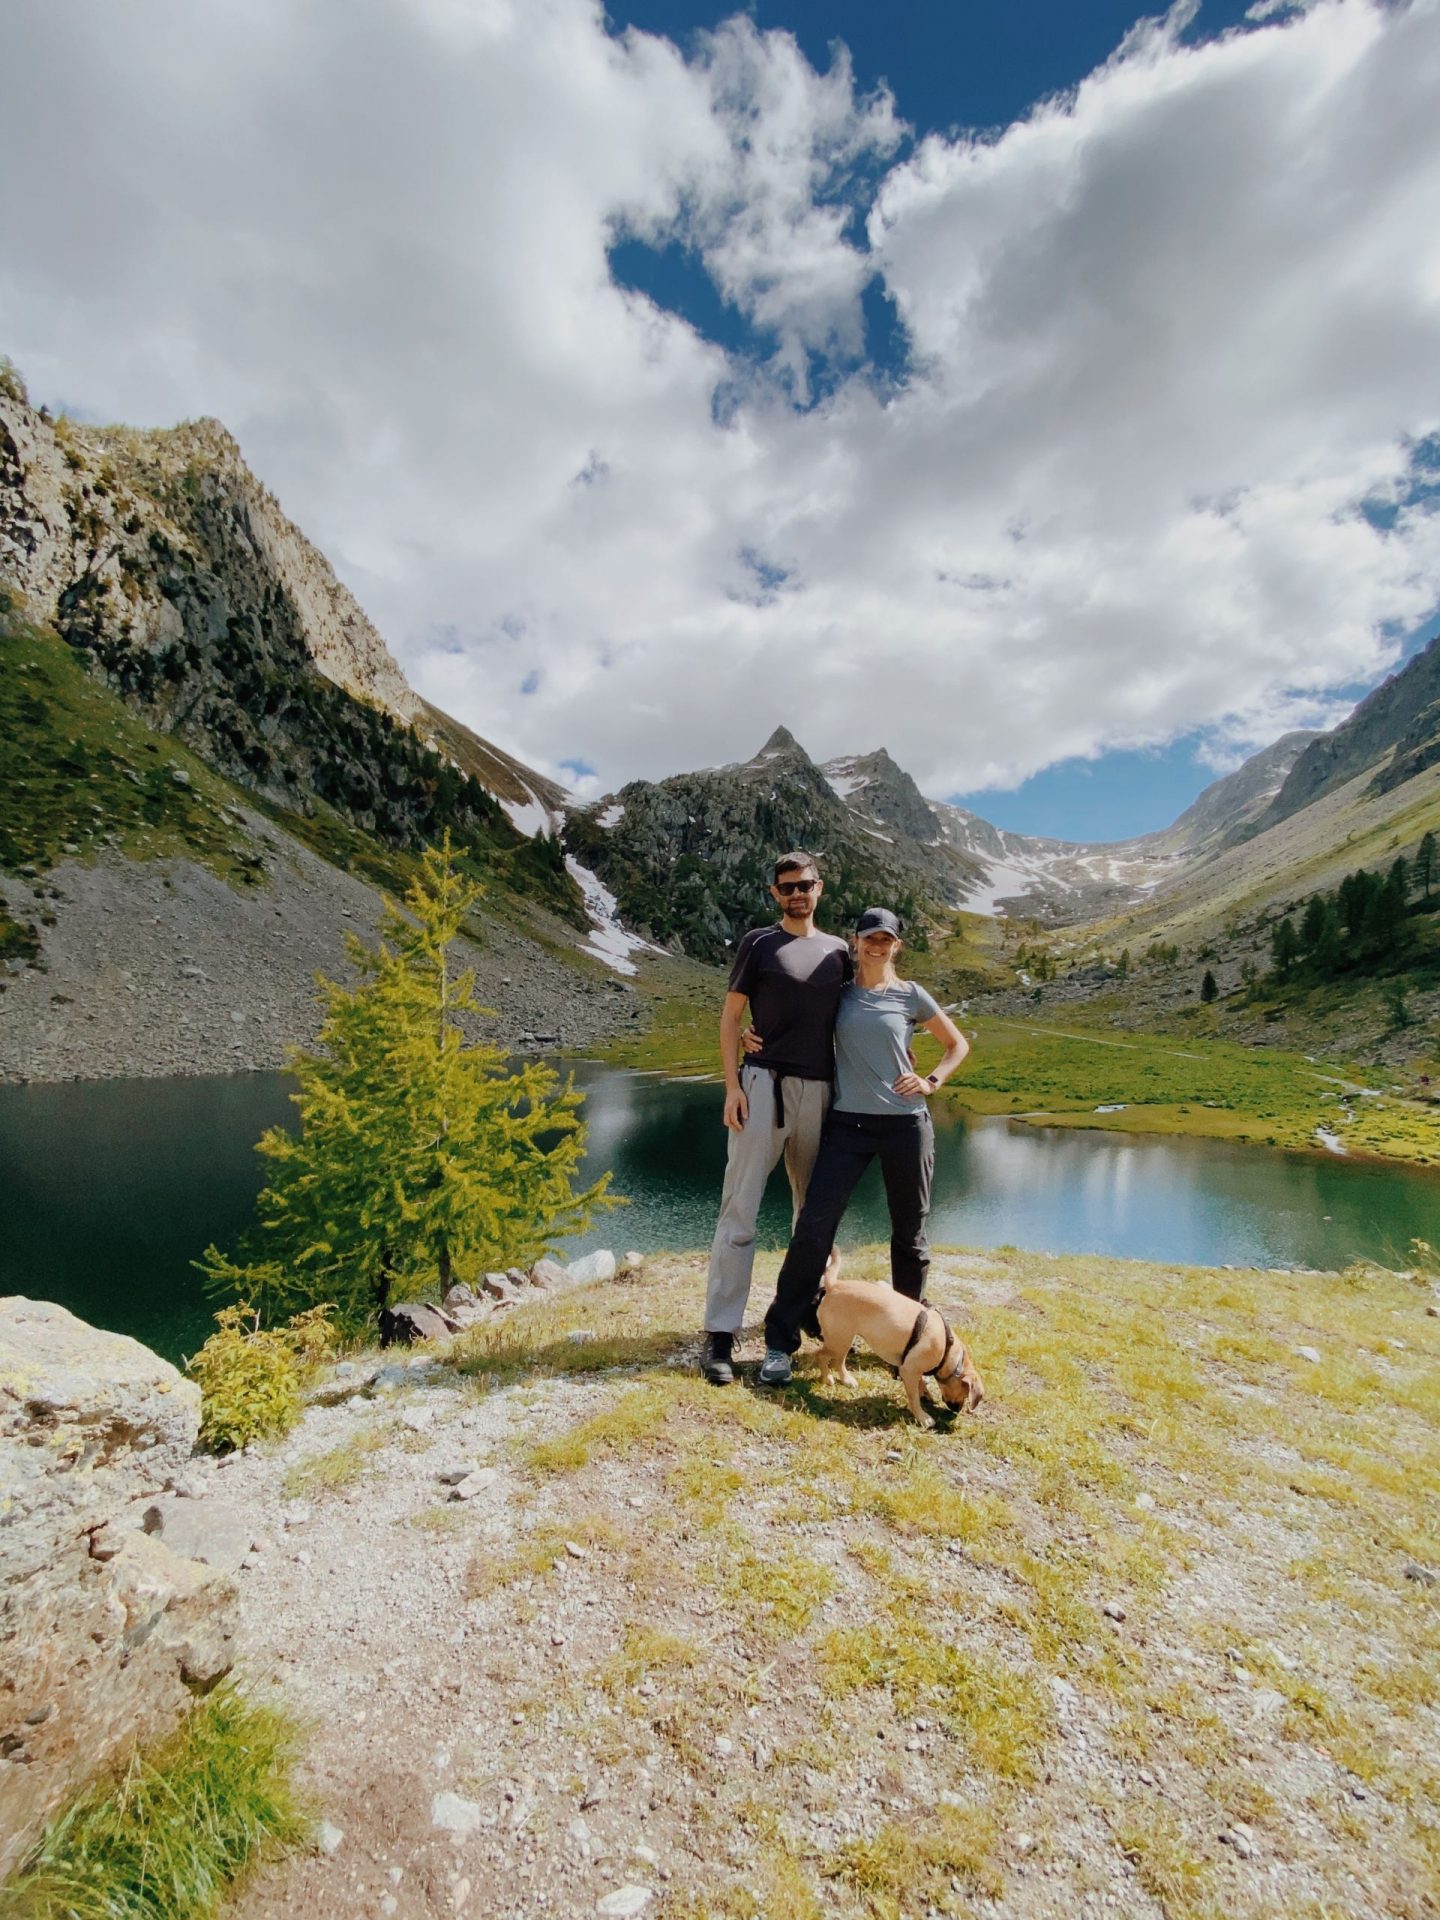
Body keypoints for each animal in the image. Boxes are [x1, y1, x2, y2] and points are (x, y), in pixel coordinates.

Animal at [814, 1269, 984, 1428]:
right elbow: (914, 1398)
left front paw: (925, 1392)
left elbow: (920, 1382)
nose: (957, 1411)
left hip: (844, 1340)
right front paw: (922, 1417)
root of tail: (833, 1285)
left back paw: (847, 1380)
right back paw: (827, 1378)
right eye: (966, 1394)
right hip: (838, 1341)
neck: (949, 1353)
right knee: (819, 1355)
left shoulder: (912, 1367)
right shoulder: (909, 1370)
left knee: (838, 1361)